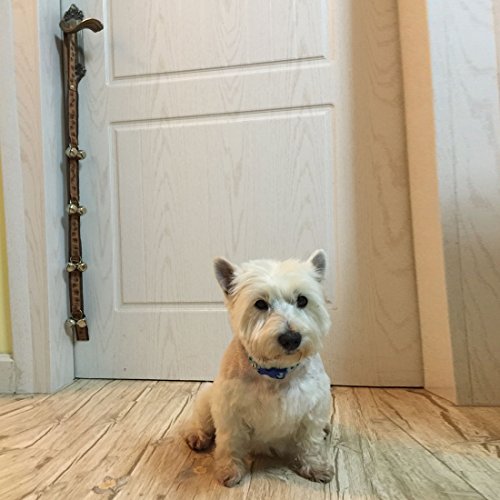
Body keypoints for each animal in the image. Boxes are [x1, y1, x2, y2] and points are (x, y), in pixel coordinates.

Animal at [183, 250, 333, 487]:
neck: (277, 373)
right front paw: (229, 470)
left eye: (302, 300)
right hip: (209, 396)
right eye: (260, 304)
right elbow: (229, 442)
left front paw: (316, 467)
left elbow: (310, 441)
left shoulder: (313, 408)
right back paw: (197, 436)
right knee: (201, 419)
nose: (291, 338)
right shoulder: (230, 410)